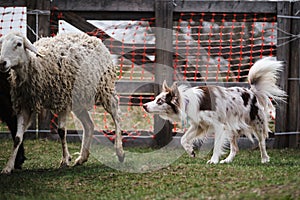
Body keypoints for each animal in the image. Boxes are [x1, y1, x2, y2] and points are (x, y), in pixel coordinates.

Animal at [0, 32, 124, 173]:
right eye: (1, 43)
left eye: (19, 44)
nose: (2, 63)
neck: (36, 64)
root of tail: (94, 39)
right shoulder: (24, 105)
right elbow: (17, 138)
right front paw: (8, 167)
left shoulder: (63, 101)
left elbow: (61, 131)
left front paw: (65, 160)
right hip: (78, 100)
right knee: (89, 125)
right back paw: (82, 157)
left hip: (105, 88)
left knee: (116, 114)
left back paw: (120, 151)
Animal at [144, 57, 286, 163]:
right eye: (156, 98)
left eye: (160, 101)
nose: (144, 106)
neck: (188, 102)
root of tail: (251, 92)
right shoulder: (199, 125)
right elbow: (183, 139)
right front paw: (191, 151)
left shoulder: (219, 126)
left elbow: (217, 144)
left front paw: (213, 160)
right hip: (232, 128)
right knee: (235, 148)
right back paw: (227, 160)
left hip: (257, 124)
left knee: (262, 143)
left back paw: (265, 159)